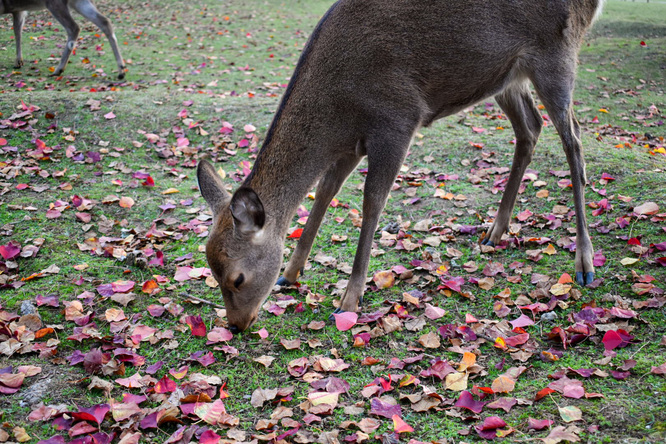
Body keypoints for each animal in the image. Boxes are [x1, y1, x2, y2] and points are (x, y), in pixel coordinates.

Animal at [196, 0, 600, 332]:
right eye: (213, 272)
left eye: (237, 278)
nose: (236, 325)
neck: (337, 110)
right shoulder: (351, 143)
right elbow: (325, 192)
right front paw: (291, 274)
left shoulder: (396, 119)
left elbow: (372, 201)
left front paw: (349, 299)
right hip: (506, 77)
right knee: (530, 127)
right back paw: (494, 231)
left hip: (557, 56)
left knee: (575, 141)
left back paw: (585, 263)